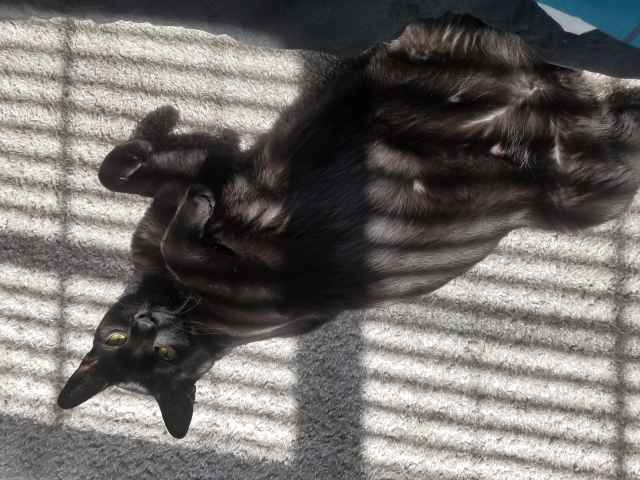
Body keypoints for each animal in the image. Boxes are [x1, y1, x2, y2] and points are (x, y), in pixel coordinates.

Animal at [58, 14, 640, 438]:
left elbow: (125, 185)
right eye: (125, 345)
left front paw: (140, 150)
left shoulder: (211, 174)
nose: (147, 324)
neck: (189, 309)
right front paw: (165, 178)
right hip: (588, 188)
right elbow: (171, 224)